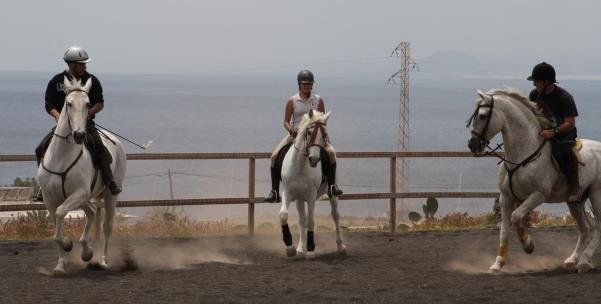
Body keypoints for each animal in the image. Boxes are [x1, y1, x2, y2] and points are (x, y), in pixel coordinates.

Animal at [37, 76, 126, 274]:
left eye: (88, 104)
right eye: (68, 103)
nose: (79, 135)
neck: (62, 157)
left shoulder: (79, 193)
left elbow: (61, 213)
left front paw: (68, 244)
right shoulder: (49, 198)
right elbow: (56, 227)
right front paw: (60, 265)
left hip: (108, 195)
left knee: (106, 226)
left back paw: (102, 261)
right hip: (83, 199)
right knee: (92, 212)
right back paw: (87, 252)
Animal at [278, 110, 344, 258]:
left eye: (324, 135)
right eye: (309, 132)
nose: (314, 159)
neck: (300, 166)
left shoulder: (311, 196)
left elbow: (311, 220)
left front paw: (311, 249)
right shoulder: (288, 192)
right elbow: (284, 215)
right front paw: (290, 248)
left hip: (332, 194)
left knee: (335, 215)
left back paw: (341, 246)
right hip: (299, 199)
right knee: (302, 219)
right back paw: (300, 248)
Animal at [468, 88, 600, 274]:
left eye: (482, 115)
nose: (472, 144)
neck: (522, 154)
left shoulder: (538, 195)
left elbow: (516, 217)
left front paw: (528, 245)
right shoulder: (506, 197)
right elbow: (504, 228)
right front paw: (498, 263)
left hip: (596, 194)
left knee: (598, 228)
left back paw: (584, 262)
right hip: (575, 201)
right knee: (585, 229)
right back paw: (572, 260)